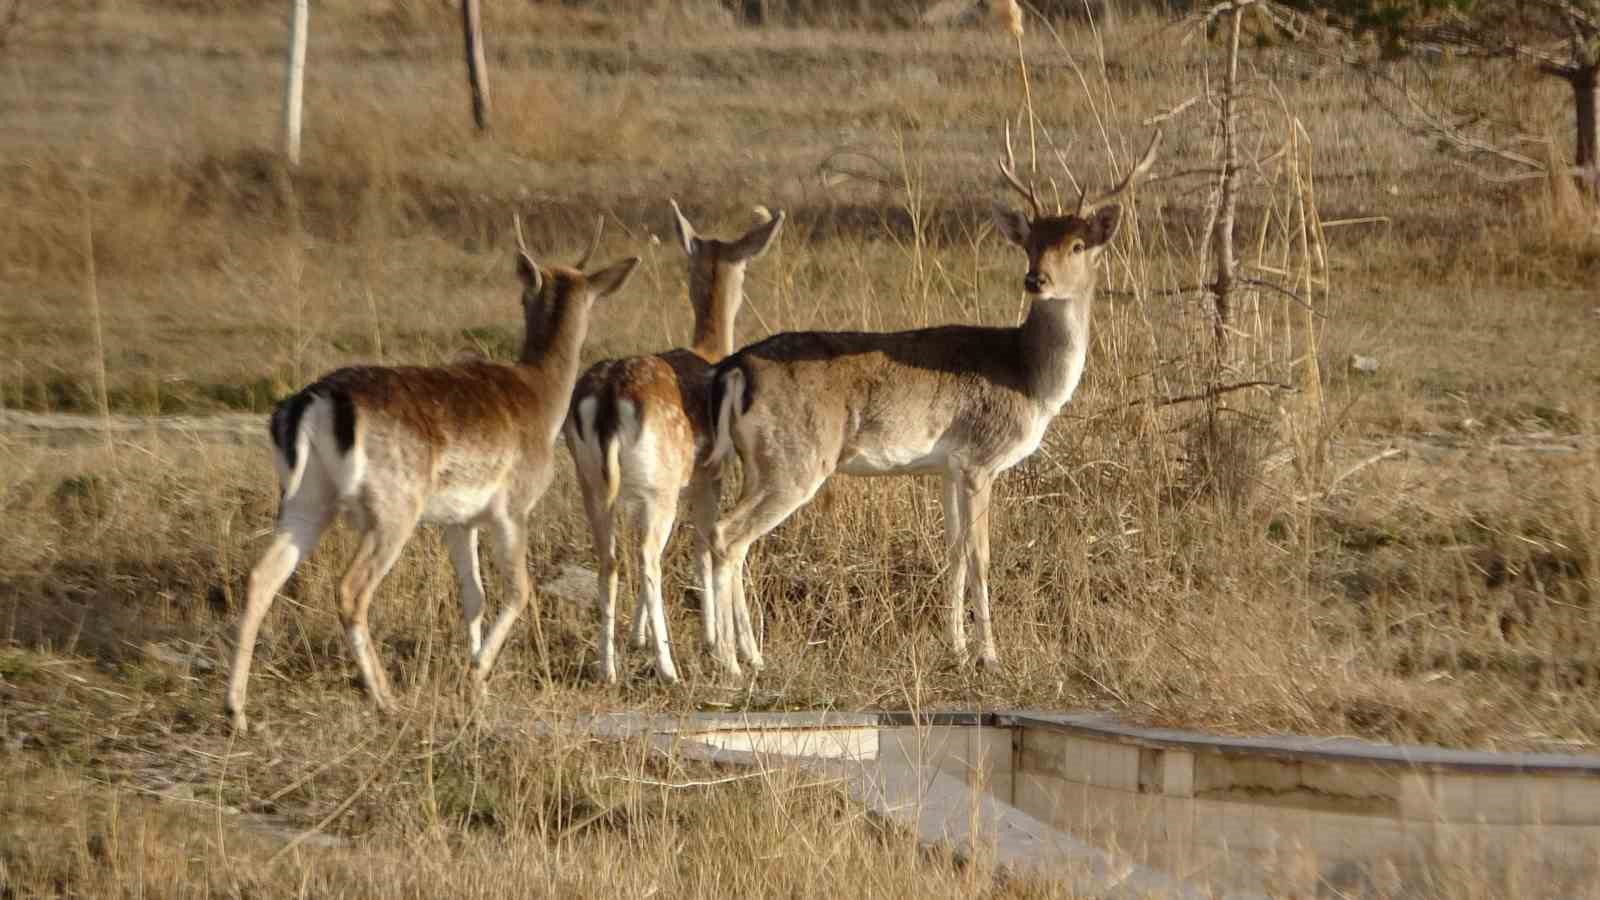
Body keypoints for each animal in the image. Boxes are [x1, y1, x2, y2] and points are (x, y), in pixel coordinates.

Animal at [225, 216, 636, 730]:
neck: (543, 400)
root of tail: (313, 403)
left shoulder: (459, 520)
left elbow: (474, 594)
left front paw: (477, 684)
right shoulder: (512, 507)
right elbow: (519, 590)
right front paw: (475, 674)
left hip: (305, 499)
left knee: (261, 576)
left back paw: (236, 711)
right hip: (393, 506)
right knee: (351, 588)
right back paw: (385, 698)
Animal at [566, 201, 784, 679]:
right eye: (745, 267)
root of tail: (608, 397)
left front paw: (638, 637)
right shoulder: (709, 473)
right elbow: (706, 545)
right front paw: (734, 648)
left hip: (593, 482)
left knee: (610, 557)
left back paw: (608, 667)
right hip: (659, 485)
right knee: (648, 555)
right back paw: (668, 668)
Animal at [707, 129, 1158, 669]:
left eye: (1076, 244)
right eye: (1030, 243)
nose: (1035, 280)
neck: (1029, 379)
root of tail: (735, 368)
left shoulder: (948, 466)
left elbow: (954, 553)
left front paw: (957, 648)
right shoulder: (982, 459)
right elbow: (981, 556)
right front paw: (990, 656)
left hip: (759, 461)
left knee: (724, 535)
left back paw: (750, 655)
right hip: (796, 459)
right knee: (726, 534)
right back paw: (731, 661)